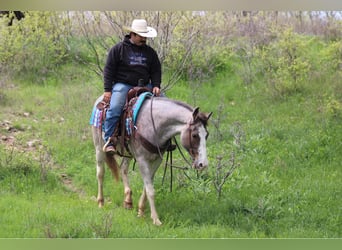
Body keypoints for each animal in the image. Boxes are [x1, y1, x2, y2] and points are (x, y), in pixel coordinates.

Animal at [91, 94, 212, 227]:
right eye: (195, 135)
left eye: (206, 135)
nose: (203, 164)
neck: (154, 126)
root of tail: (100, 99)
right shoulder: (142, 160)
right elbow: (150, 190)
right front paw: (156, 219)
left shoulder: (157, 159)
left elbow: (147, 186)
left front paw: (141, 211)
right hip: (99, 147)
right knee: (100, 173)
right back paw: (101, 202)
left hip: (127, 152)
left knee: (123, 168)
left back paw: (128, 201)